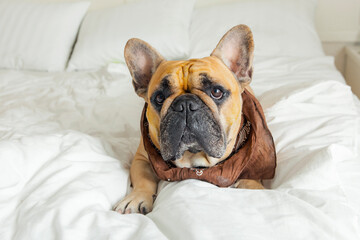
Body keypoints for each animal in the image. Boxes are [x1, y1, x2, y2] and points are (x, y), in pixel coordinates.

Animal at [114, 25, 276, 215]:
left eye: (216, 92)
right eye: (159, 98)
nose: (185, 104)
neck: (194, 161)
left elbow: (252, 175)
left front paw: (253, 188)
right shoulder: (142, 157)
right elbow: (144, 178)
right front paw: (136, 197)